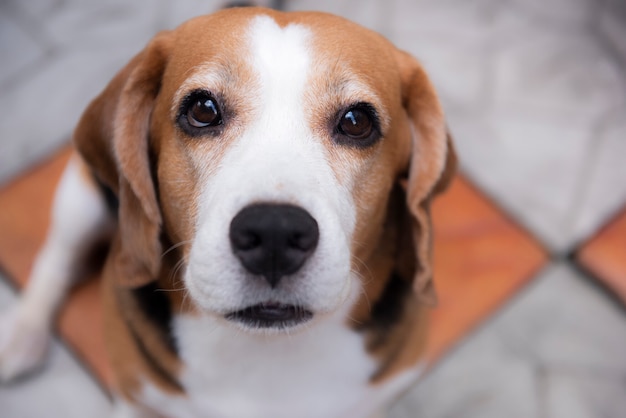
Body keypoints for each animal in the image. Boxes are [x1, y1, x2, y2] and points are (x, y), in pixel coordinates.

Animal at [0, 6, 454, 418]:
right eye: (202, 110)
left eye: (357, 121)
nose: (274, 235)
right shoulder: (136, 400)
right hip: (81, 193)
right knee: (56, 258)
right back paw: (22, 334)